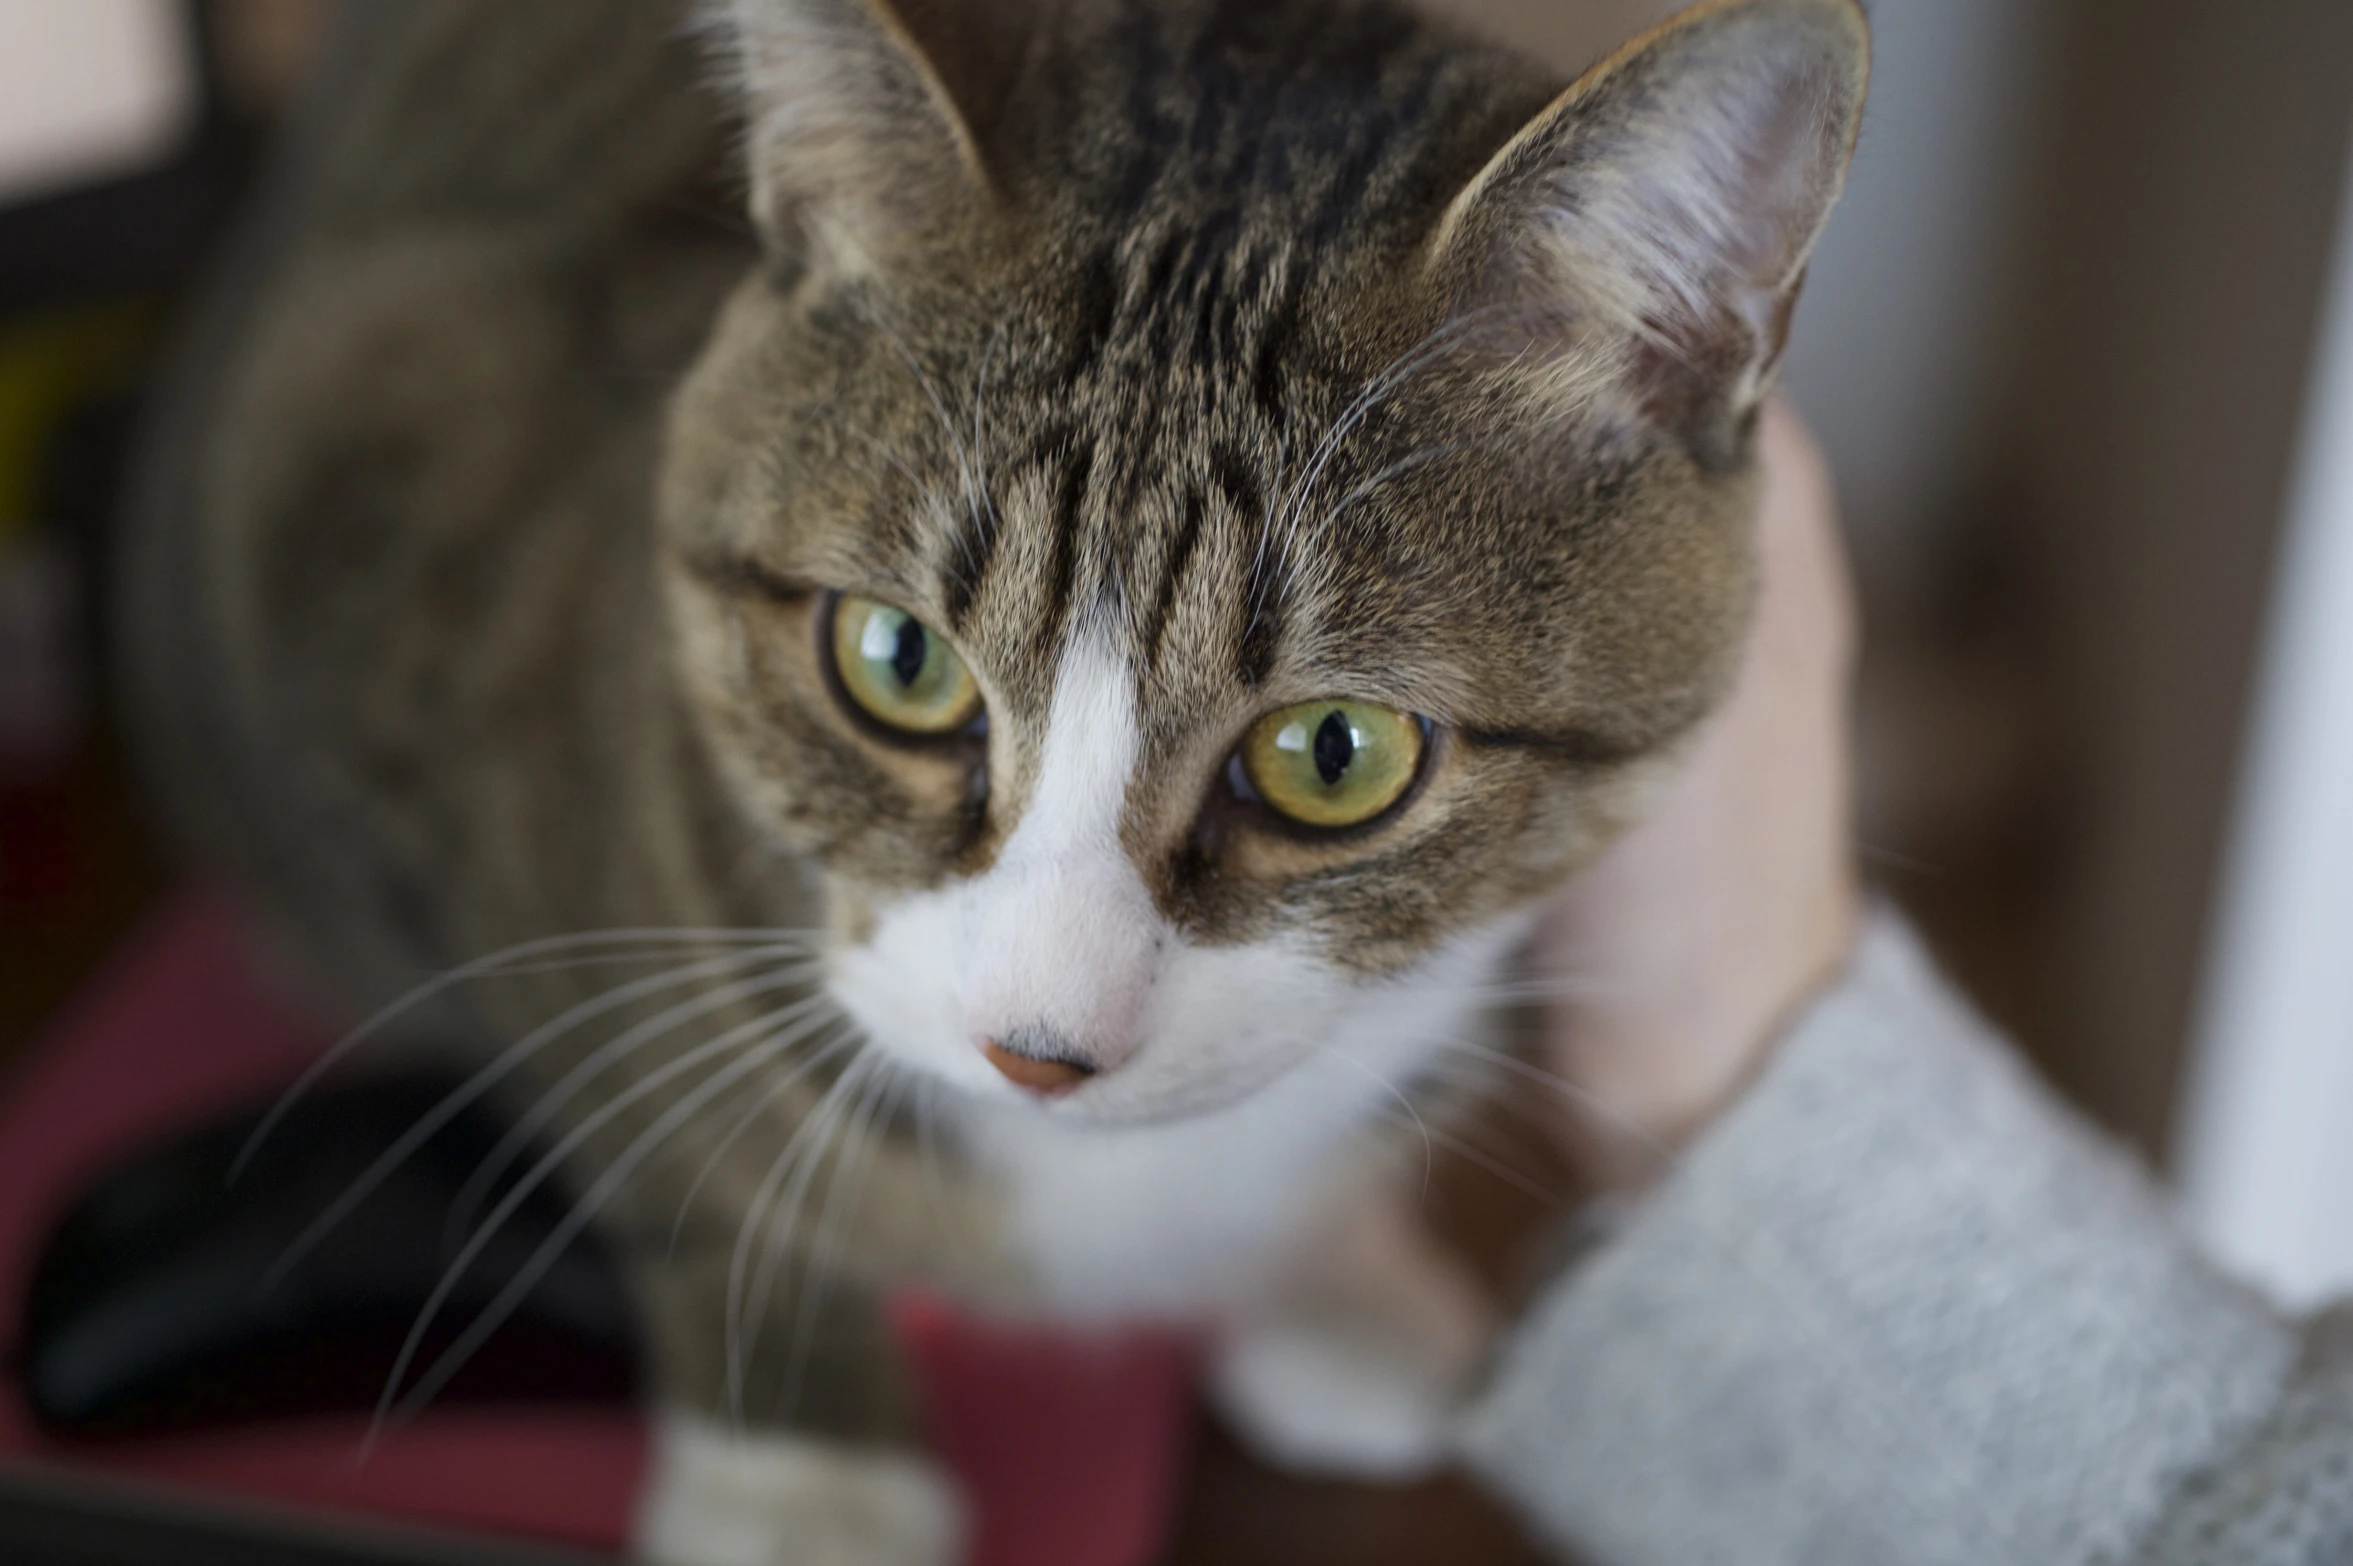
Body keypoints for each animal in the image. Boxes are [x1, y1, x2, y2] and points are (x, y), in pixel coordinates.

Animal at [124, 0, 1854, 1551]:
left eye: (1333, 754)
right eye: (896, 658)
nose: (1038, 1051)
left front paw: (1328, 1272)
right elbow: (648, 1113)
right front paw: (805, 1477)